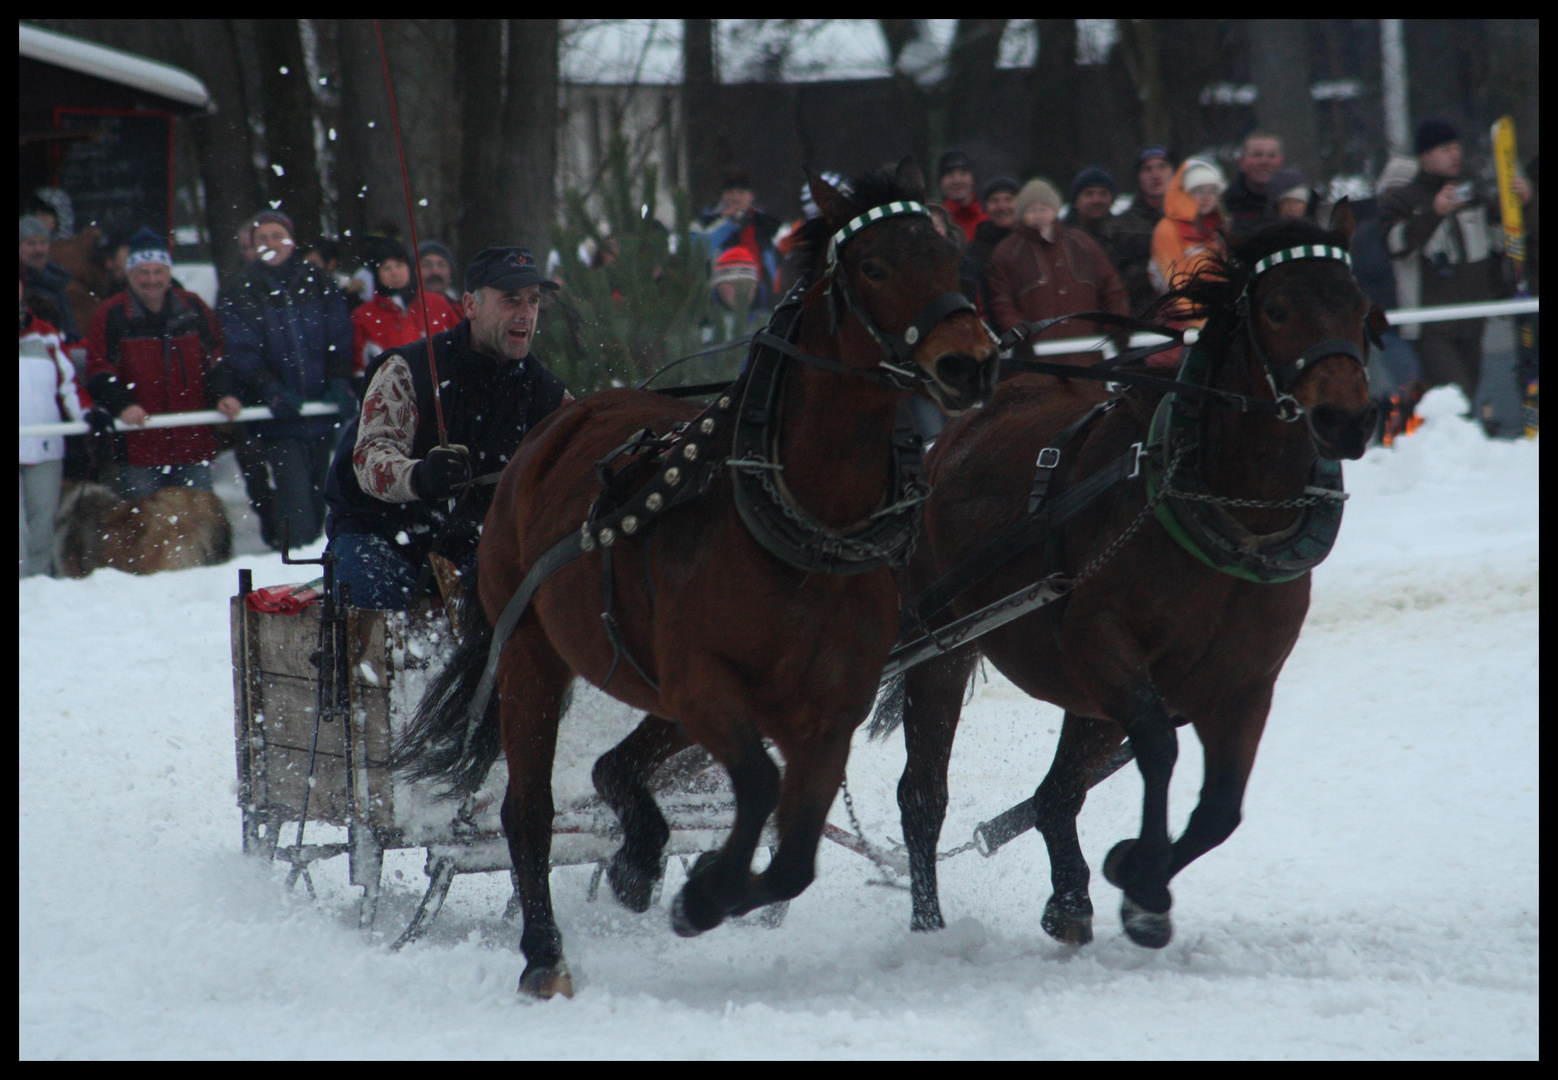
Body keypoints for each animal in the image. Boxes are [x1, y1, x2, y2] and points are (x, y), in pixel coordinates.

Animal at [389, 164, 997, 997]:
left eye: (951, 255)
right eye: (874, 266)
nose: (972, 360)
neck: (806, 524)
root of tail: (547, 436)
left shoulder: (829, 707)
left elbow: (796, 853)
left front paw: (697, 880)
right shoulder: (706, 681)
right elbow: (760, 786)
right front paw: (705, 890)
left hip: (660, 689)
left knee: (614, 765)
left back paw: (639, 857)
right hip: (533, 657)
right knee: (528, 811)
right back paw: (545, 952)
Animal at [878, 213, 1377, 953]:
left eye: (1361, 307)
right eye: (1279, 309)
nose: (1346, 419)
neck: (1224, 514)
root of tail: (949, 442)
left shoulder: (1245, 682)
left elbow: (1221, 809)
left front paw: (1132, 875)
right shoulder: (1104, 641)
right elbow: (1160, 746)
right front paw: (1142, 882)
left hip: (1083, 695)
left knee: (1055, 797)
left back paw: (1069, 900)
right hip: (943, 645)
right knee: (923, 797)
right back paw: (930, 925)